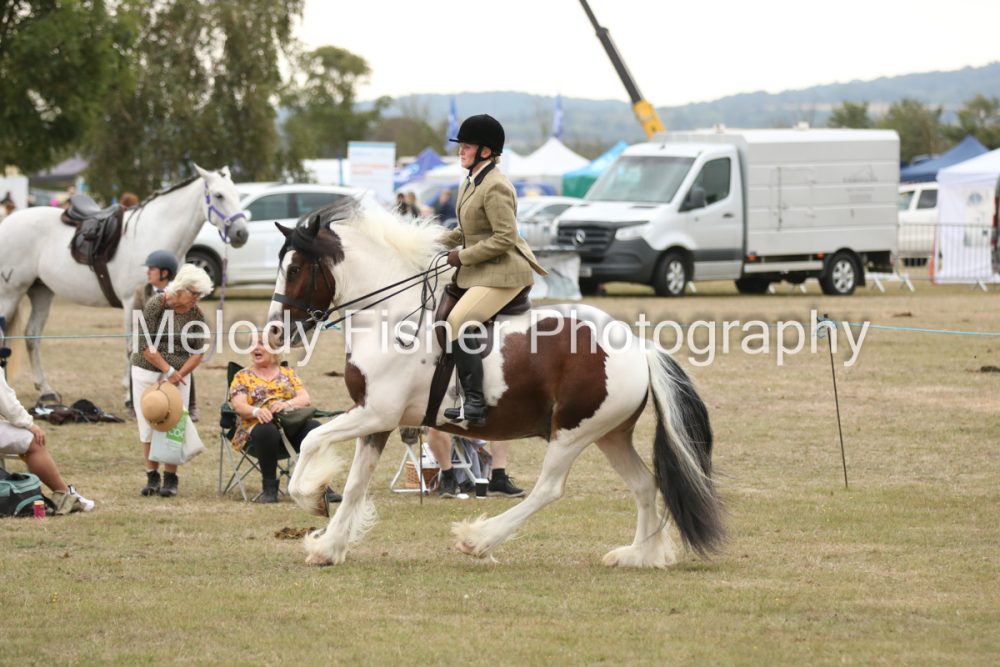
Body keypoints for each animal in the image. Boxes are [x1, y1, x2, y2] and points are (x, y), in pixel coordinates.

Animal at [0, 165, 249, 400]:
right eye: (218, 195)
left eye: (236, 194)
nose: (241, 234)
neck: (153, 234)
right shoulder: (133, 302)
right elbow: (133, 345)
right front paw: (130, 395)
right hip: (10, 294)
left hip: (41, 291)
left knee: (31, 336)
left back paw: (46, 391)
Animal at [266, 200, 723, 568]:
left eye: (295, 269)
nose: (273, 333)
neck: (390, 319)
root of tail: (638, 347)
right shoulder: (376, 420)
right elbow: (357, 482)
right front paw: (328, 548)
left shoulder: (374, 413)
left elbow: (312, 442)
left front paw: (312, 499)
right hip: (609, 434)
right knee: (645, 485)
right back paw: (638, 555)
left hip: (572, 431)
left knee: (548, 489)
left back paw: (479, 539)